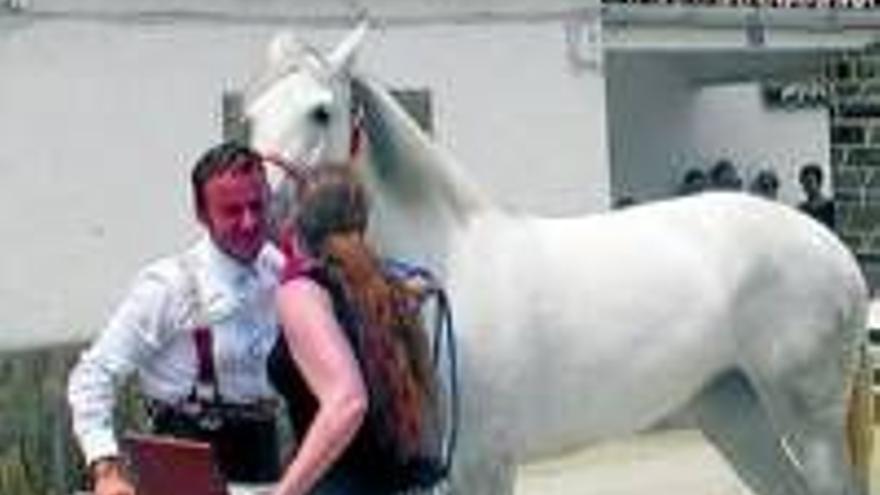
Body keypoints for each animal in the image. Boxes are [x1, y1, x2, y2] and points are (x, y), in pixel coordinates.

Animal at [242, 24, 872, 495]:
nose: (261, 207)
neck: (446, 265)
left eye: (321, 112)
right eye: (249, 116)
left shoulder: (482, 461)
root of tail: (833, 249)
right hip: (735, 414)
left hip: (810, 423)